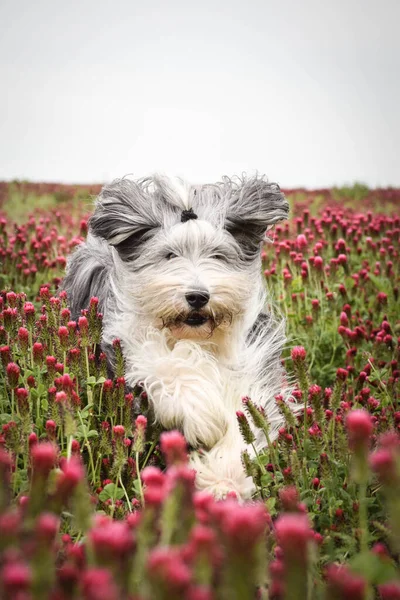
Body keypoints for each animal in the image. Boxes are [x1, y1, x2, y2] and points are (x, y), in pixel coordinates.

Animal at [64, 176, 292, 500]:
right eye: (169, 255)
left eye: (217, 255)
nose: (197, 296)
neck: (196, 337)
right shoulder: (130, 344)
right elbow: (170, 367)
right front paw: (203, 419)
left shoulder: (250, 359)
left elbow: (243, 413)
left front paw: (224, 478)